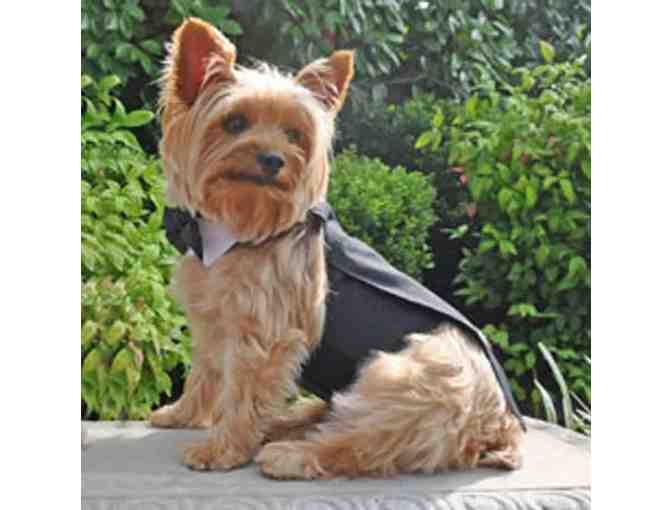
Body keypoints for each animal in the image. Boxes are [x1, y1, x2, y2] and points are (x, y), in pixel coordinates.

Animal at [150, 18, 523, 479]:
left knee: (363, 443)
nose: (274, 159)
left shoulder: (264, 335)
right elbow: (204, 373)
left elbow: (242, 396)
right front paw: (181, 414)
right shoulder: (211, 320)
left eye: (294, 134)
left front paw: (220, 450)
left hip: (404, 381)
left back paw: (289, 454)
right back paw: (291, 421)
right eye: (234, 123)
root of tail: (499, 425)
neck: (240, 228)